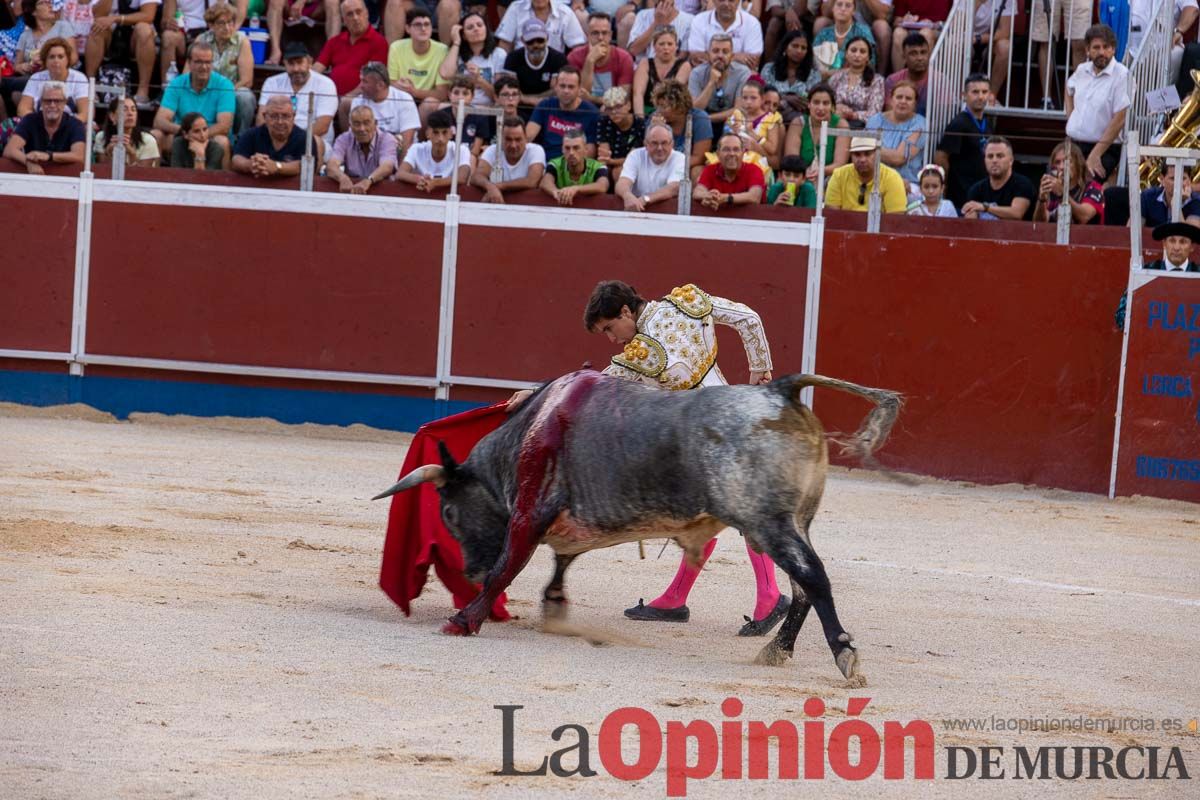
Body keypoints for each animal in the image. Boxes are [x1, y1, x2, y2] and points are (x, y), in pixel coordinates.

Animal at [374, 371, 902, 681]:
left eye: (447, 512)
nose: (470, 573)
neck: (528, 429)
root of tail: (778, 390)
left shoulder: (529, 511)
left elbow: (511, 563)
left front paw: (464, 620)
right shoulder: (565, 524)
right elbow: (561, 561)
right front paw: (554, 607)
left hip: (767, 522)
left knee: (813, 578)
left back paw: (844, 655)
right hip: (794, 522)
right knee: (801, 587)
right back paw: (776, 650)